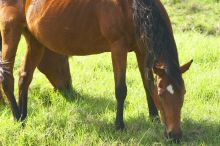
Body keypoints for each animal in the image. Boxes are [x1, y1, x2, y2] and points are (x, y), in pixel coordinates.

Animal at [0, 0, 192, 141]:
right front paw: (119, 125)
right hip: (11, 30)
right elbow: (121, 89)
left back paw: (24, 117)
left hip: (35, 40)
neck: (132, 9)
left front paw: (153, 118)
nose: (175, 136)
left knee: (24, 77)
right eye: (161, 95)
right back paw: (17, 117)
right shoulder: (118, 48)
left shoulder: (141, 49)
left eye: (183, 93)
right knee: (7, 77)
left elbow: (147, 83)